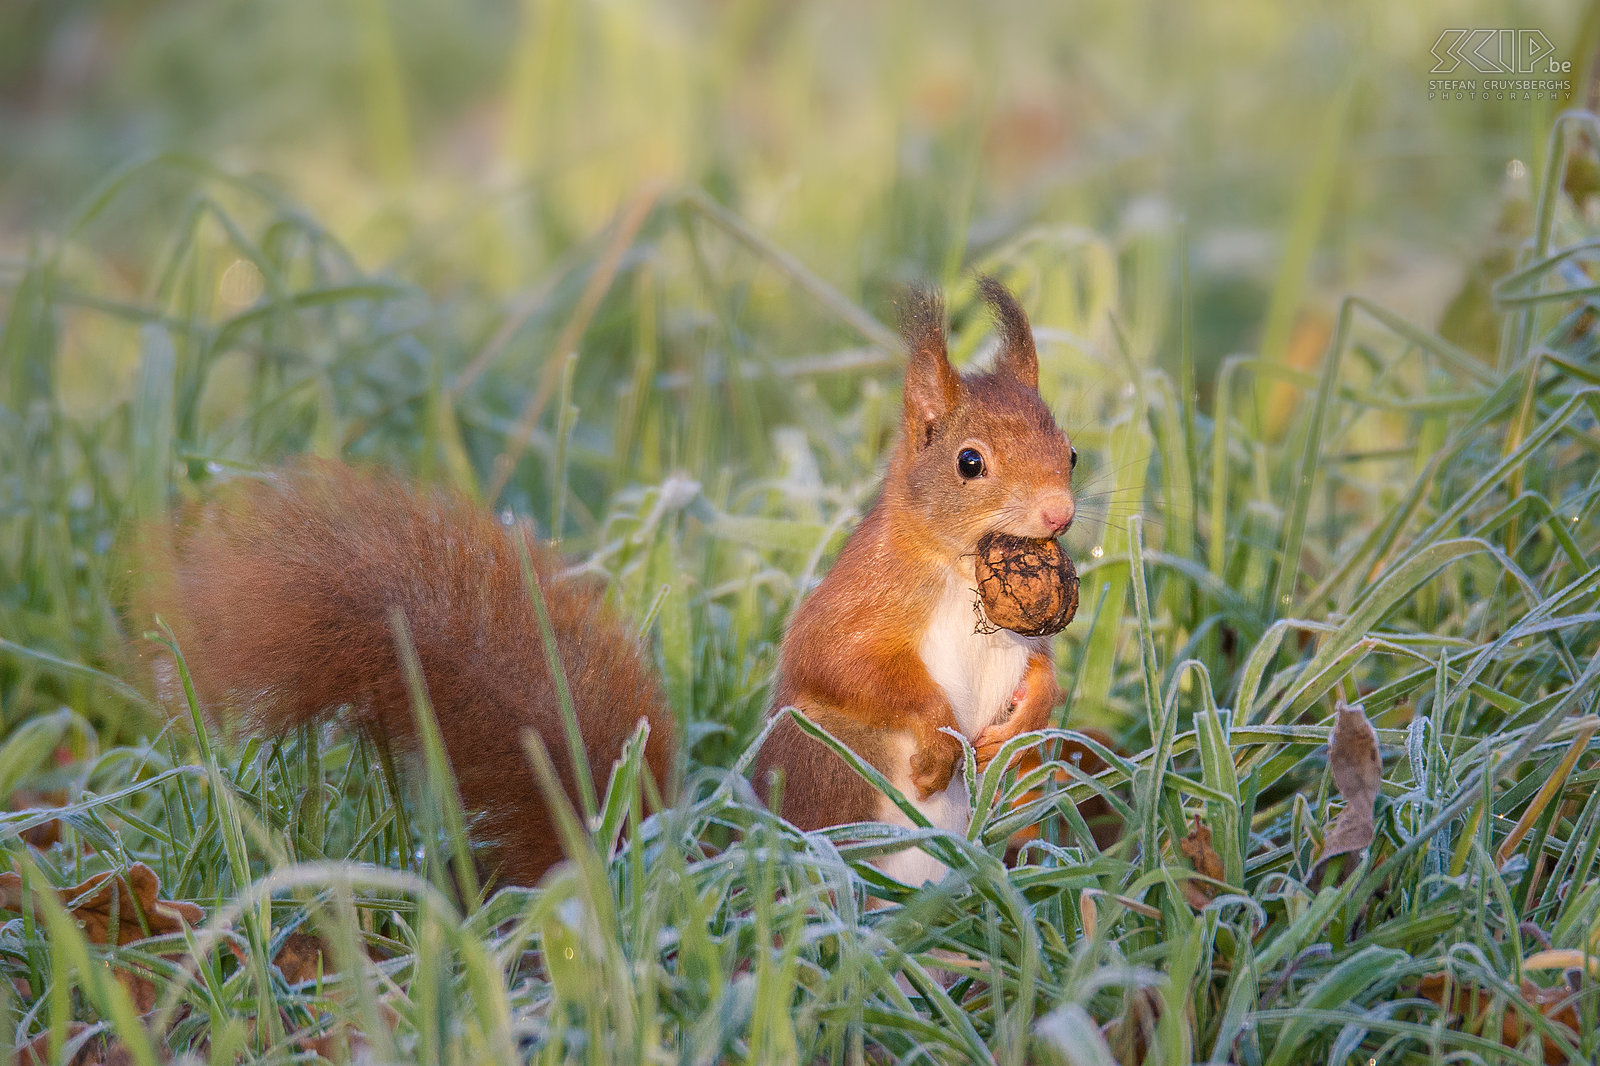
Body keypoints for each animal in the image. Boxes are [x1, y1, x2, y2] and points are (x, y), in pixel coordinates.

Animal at [755, 275, 1081, 877]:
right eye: (970, 462)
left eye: (1071, 454)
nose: (1059, 513)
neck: (961, 571)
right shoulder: (867, 593)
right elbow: (838, 661)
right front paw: (938, 741)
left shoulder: (1026, 638)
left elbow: (1044, 673)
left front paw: (1021, 725)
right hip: (832, 767)